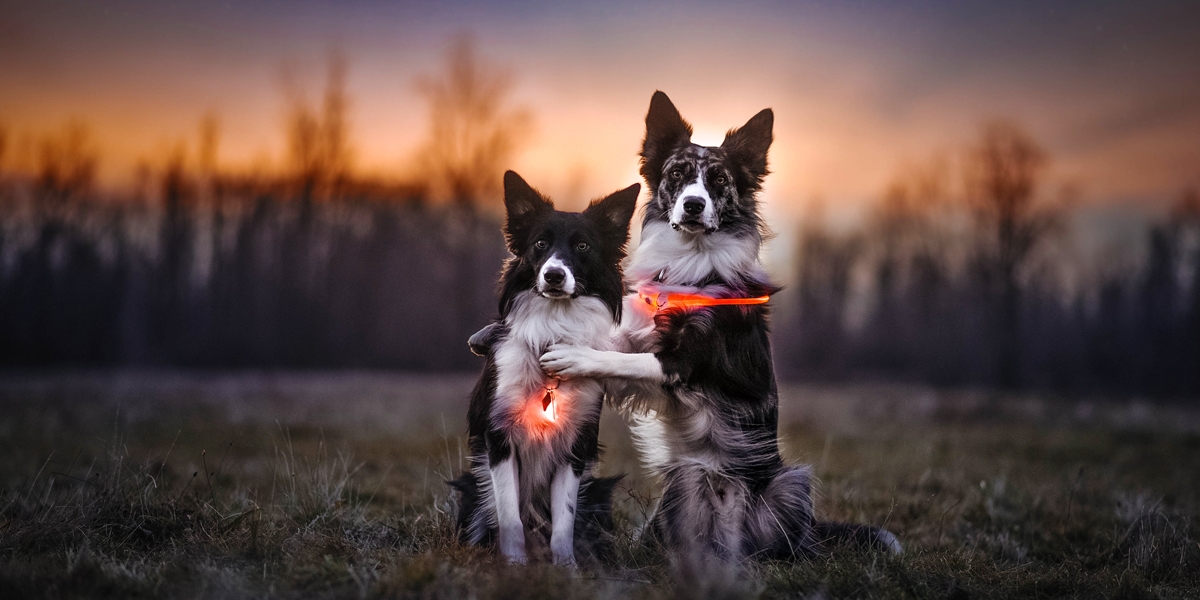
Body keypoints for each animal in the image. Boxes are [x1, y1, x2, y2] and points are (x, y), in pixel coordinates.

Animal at [448, 171, 638, 564]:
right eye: (540, 244)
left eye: (582, 247)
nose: (553, 275)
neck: (553, 325)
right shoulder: (498, 439)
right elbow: (510, 519)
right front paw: (515, 566)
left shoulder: (575, 445)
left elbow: (564, 522)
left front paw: (567, 568)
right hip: (472, 488)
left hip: (597, 493)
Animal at [537, 91, 902, 559]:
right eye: (677, 174)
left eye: (719, 180)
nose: (694, 204)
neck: (693, 262)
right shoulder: (641, 337)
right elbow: (617, 350)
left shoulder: (687, 362)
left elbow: (624, 360)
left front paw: (572, 355)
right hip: (676, 490)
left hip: (788, 485)